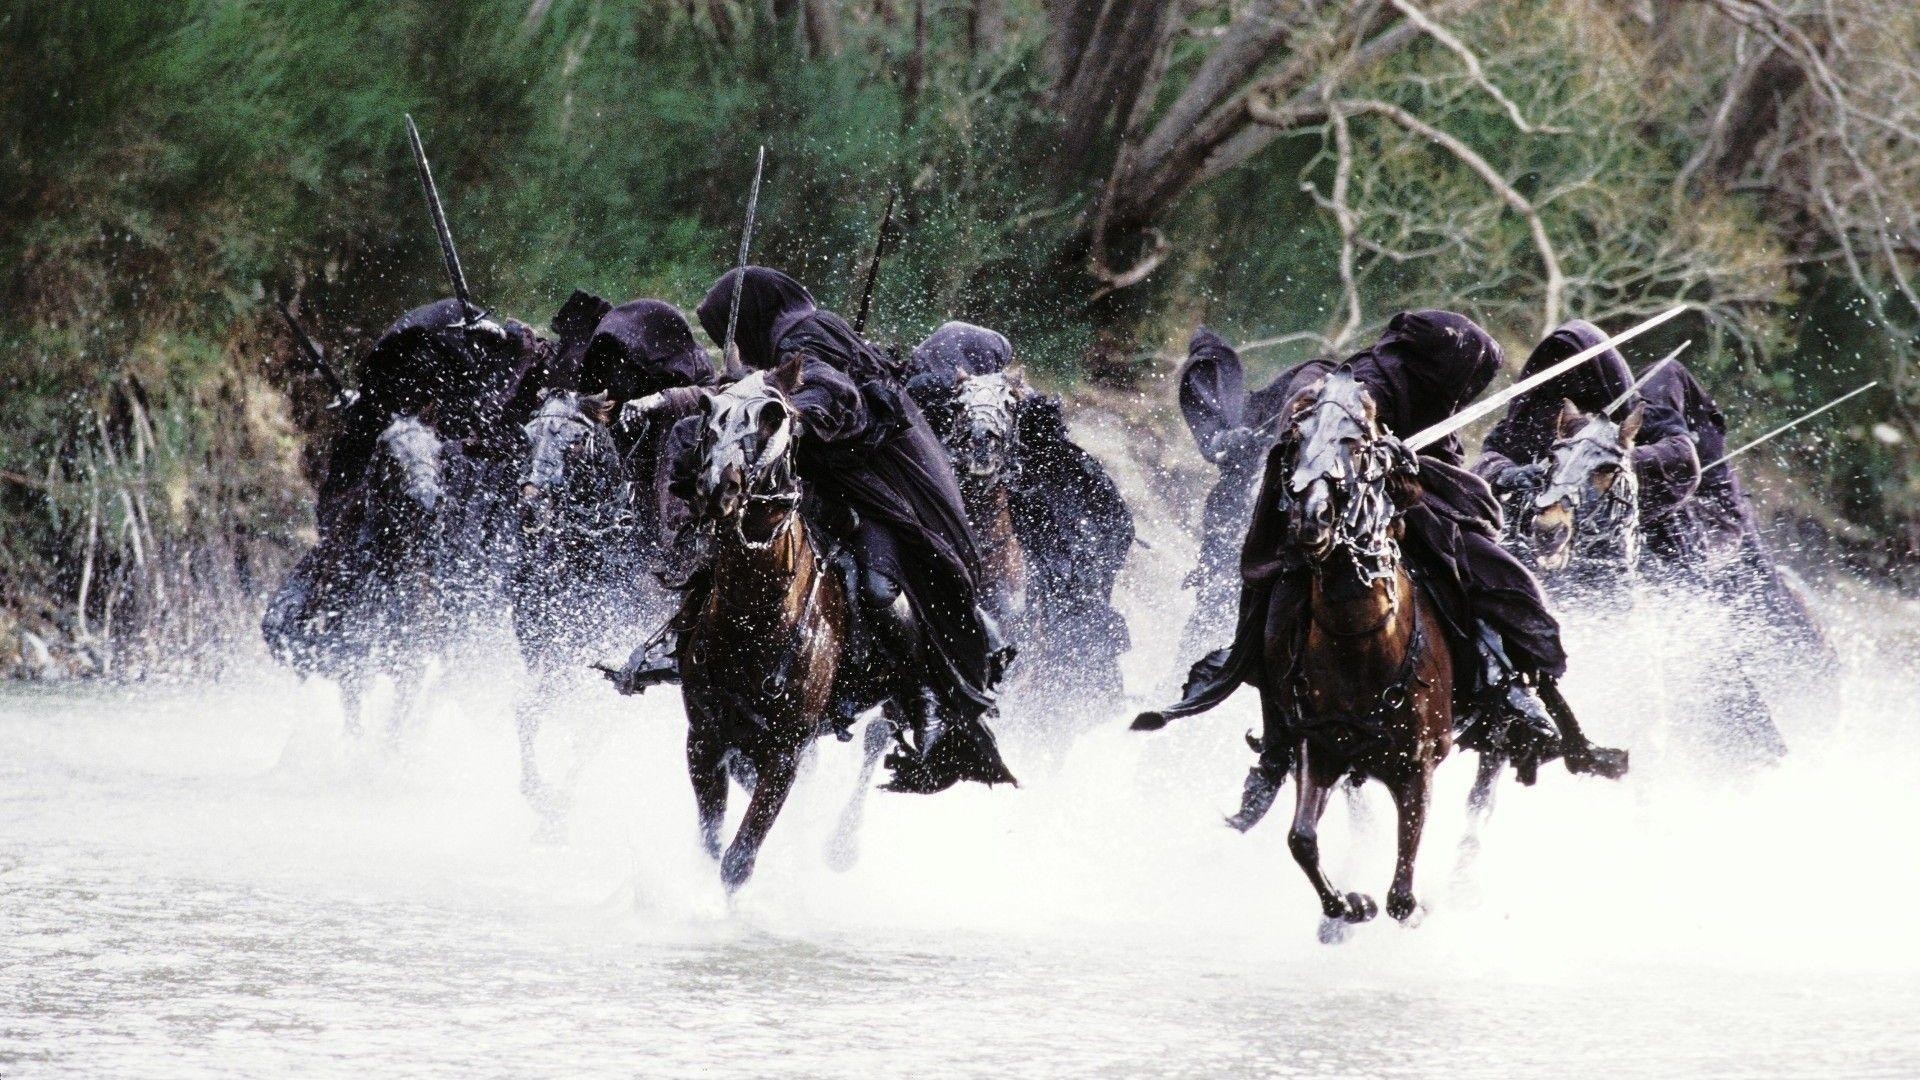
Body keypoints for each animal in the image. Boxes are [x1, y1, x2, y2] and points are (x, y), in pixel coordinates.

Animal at [511, 391, 663, 819]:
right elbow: (529, 711)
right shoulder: (546, 655)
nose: (531, 504)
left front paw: (553, 806)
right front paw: (539, 795)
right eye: (527, 434)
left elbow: (585, 729)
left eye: (577, 442)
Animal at [1252, 367, 1455, 940]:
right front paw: (1348, 906)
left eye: (1357, 443)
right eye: (1294, 439)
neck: (1358, 645)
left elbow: (1403, 896)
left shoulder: (1417, 765)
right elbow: (1300, 839)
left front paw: (1409, 906)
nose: (1312, 518)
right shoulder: (1318, 747)